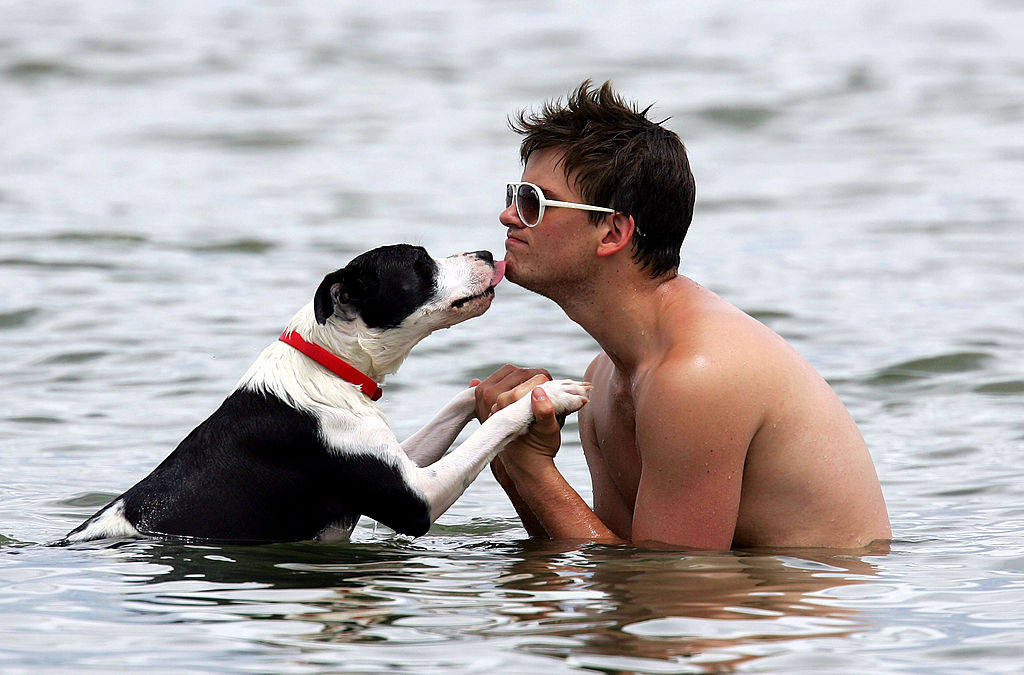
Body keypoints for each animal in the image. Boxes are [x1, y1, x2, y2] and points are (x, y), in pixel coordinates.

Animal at [61, 245, 593, 544]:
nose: (486, 254)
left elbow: (456, 405)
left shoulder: (391, 457)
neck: (327, 364)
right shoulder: (415, 500)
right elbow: (493, 428)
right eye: (420, 263)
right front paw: (553, 392)